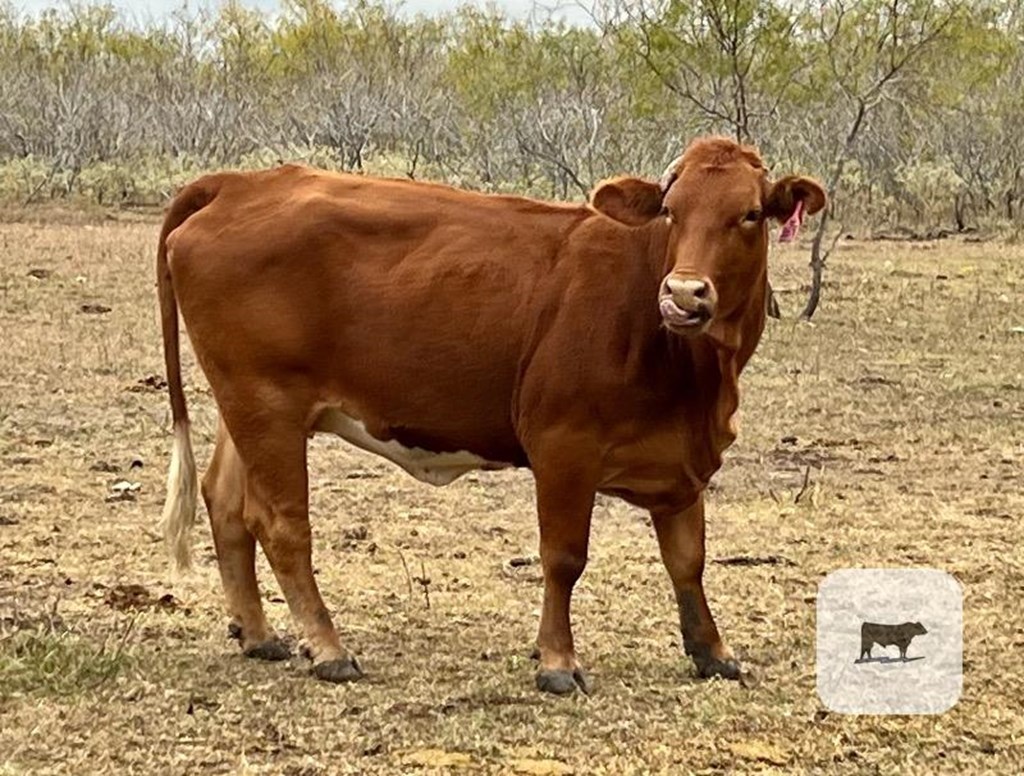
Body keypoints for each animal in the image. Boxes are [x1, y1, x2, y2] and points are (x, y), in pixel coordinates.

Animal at [157, 137, 823, 696]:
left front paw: (713, 653)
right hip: (267, 404)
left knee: (226, 503)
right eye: (670, 210)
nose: (683, 294)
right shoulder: (563, 448)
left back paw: (258, 633)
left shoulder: (681, 465)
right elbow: (563, 558)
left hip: (247, 407)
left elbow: (689, 561)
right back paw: (327, 648)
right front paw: (557, 661)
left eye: (750, 214)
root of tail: (240, 183)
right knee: (281, 524)